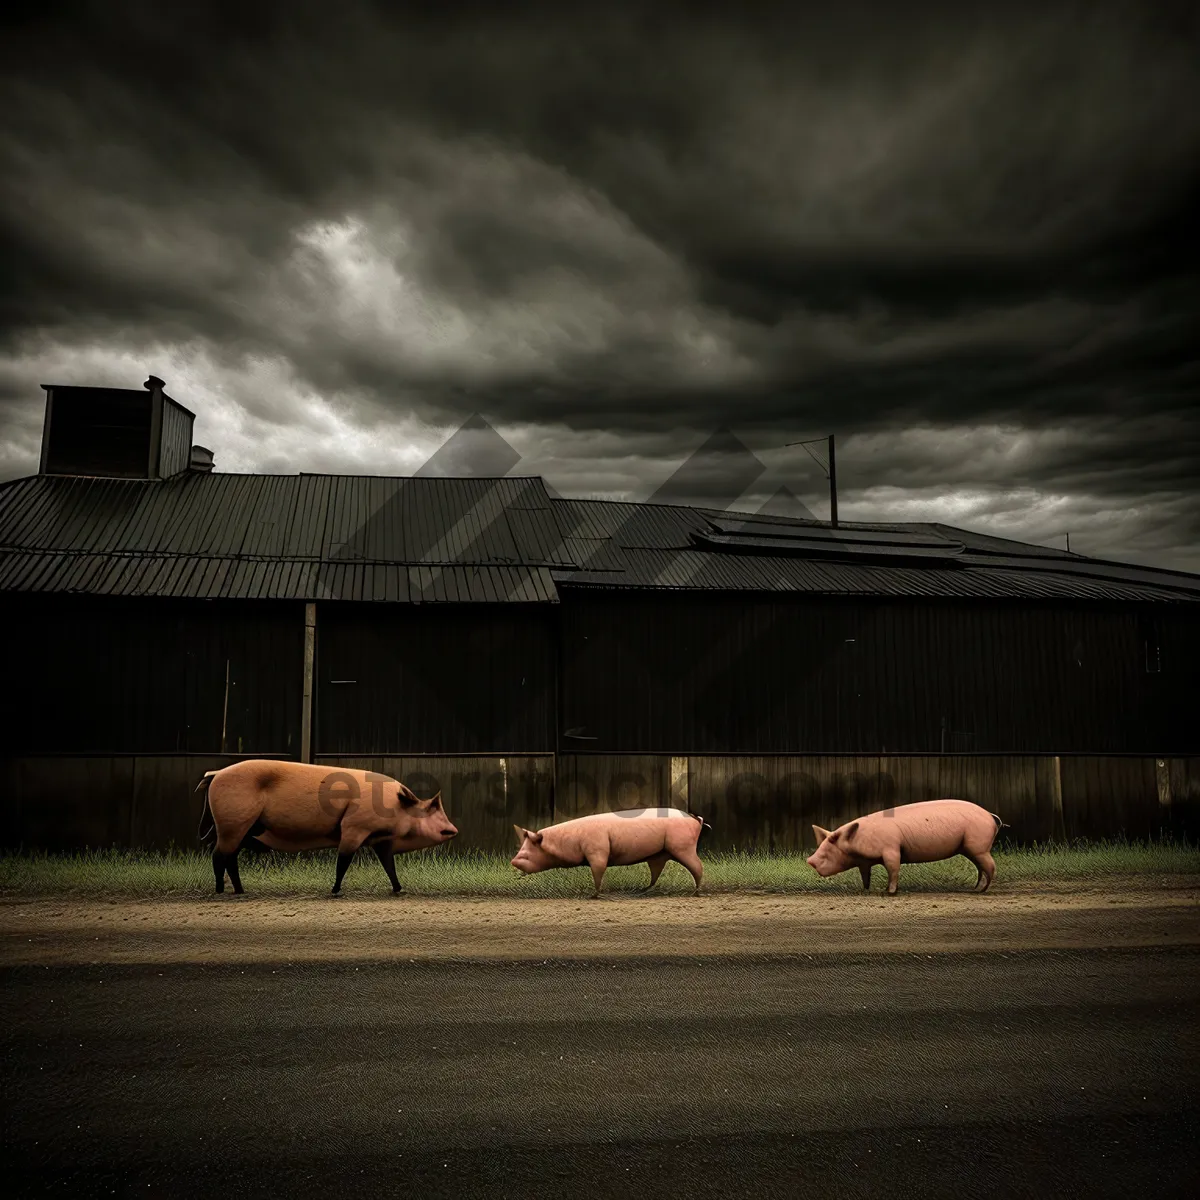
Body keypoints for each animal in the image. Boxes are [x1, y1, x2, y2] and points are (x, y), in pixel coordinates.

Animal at [196, 763, 458, 897]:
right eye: (430, 807)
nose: (453, 829)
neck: (395, 805)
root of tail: (216, 774)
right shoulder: (353, 827)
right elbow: (343, 861)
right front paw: (335, 891)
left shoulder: (380, 840)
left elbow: (389, 866)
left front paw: (399, 890)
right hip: (232, 824)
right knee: (219, 856)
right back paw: (222, 891)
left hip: (242, 829)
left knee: (229, 858)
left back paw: (240, 891)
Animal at [508, 811, 710, 897]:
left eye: (527, 855)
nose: (513, 861)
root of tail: (695, 819)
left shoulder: (597, 851)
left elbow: (598, 872)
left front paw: (594, 895)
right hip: (660, 854)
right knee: (656, 872)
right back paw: (642, 890)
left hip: (683, 847)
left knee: (698, 867)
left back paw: (696, 892)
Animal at [806, 796, 1003, 892]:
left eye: (828, 850)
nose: (810, 860)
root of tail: (990, 815)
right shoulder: (864, 861)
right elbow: (865, 875)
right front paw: (867, 890)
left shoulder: (891, 849)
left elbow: (893, 869)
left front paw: (889, 891)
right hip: (970, 848)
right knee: (981, 867)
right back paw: (975, 888)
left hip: (978, 846)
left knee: (991, 866)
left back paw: (980, 891)